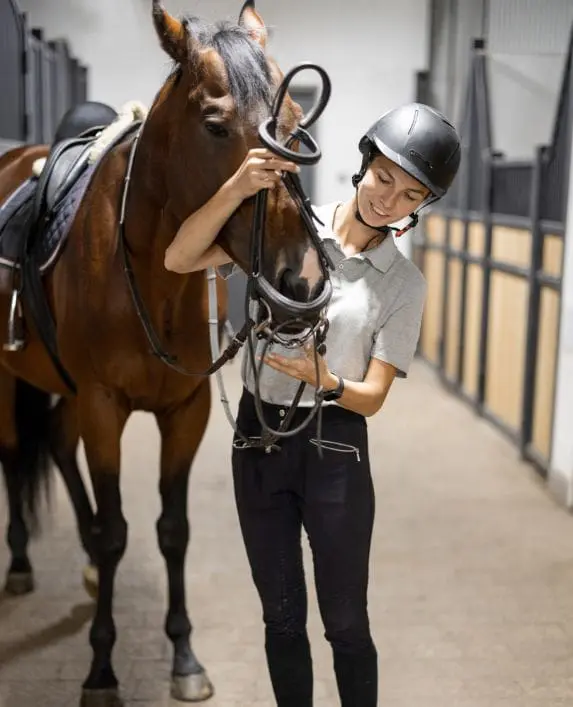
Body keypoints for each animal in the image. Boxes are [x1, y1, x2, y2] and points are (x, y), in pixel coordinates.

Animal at [0, 2, 330, 704]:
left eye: (295, 123)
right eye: (214, 125)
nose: (301, 282)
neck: (150, 272)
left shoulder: (186, 410)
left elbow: (170, 531)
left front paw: (184, 657)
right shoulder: (104, 407)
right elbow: (119, 533)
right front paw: (101, 670)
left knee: (58, 451)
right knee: (16, 455)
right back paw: (19, 562)